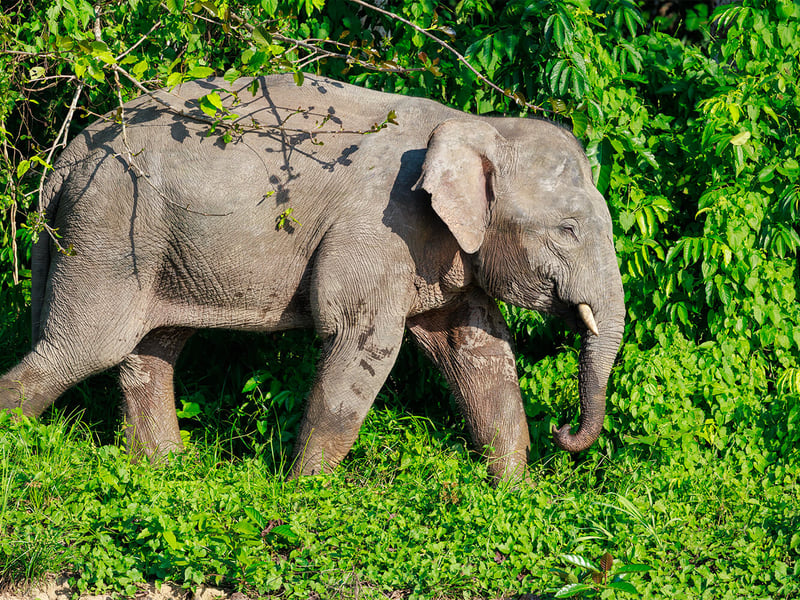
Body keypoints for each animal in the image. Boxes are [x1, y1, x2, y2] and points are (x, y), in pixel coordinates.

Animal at [0, 74, 624, 479]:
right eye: (568, 230)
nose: (563, 434)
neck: (474, 124)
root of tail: (65, 159)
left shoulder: (442, 251)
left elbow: (476, 351)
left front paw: (511, 493)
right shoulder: (380, 227)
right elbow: (362, 341)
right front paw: (305, 495)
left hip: (154, 243)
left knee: (149, 349)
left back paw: (165, 472)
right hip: (108, 228)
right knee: (85, 348)